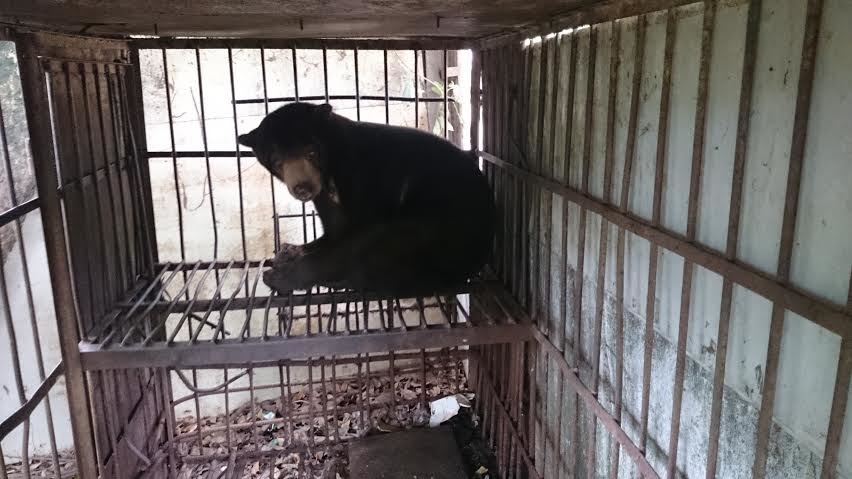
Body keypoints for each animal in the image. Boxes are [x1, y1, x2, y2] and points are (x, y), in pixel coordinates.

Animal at [237, 102, 496, 296]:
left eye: (311, 152)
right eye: (276, 161)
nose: (303, 187)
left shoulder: (366, 177)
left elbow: (350, 237)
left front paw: (284, 269)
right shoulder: (324, 197)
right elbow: (334, 229)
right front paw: (290, 250)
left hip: (437, 229)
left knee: (374, 245)